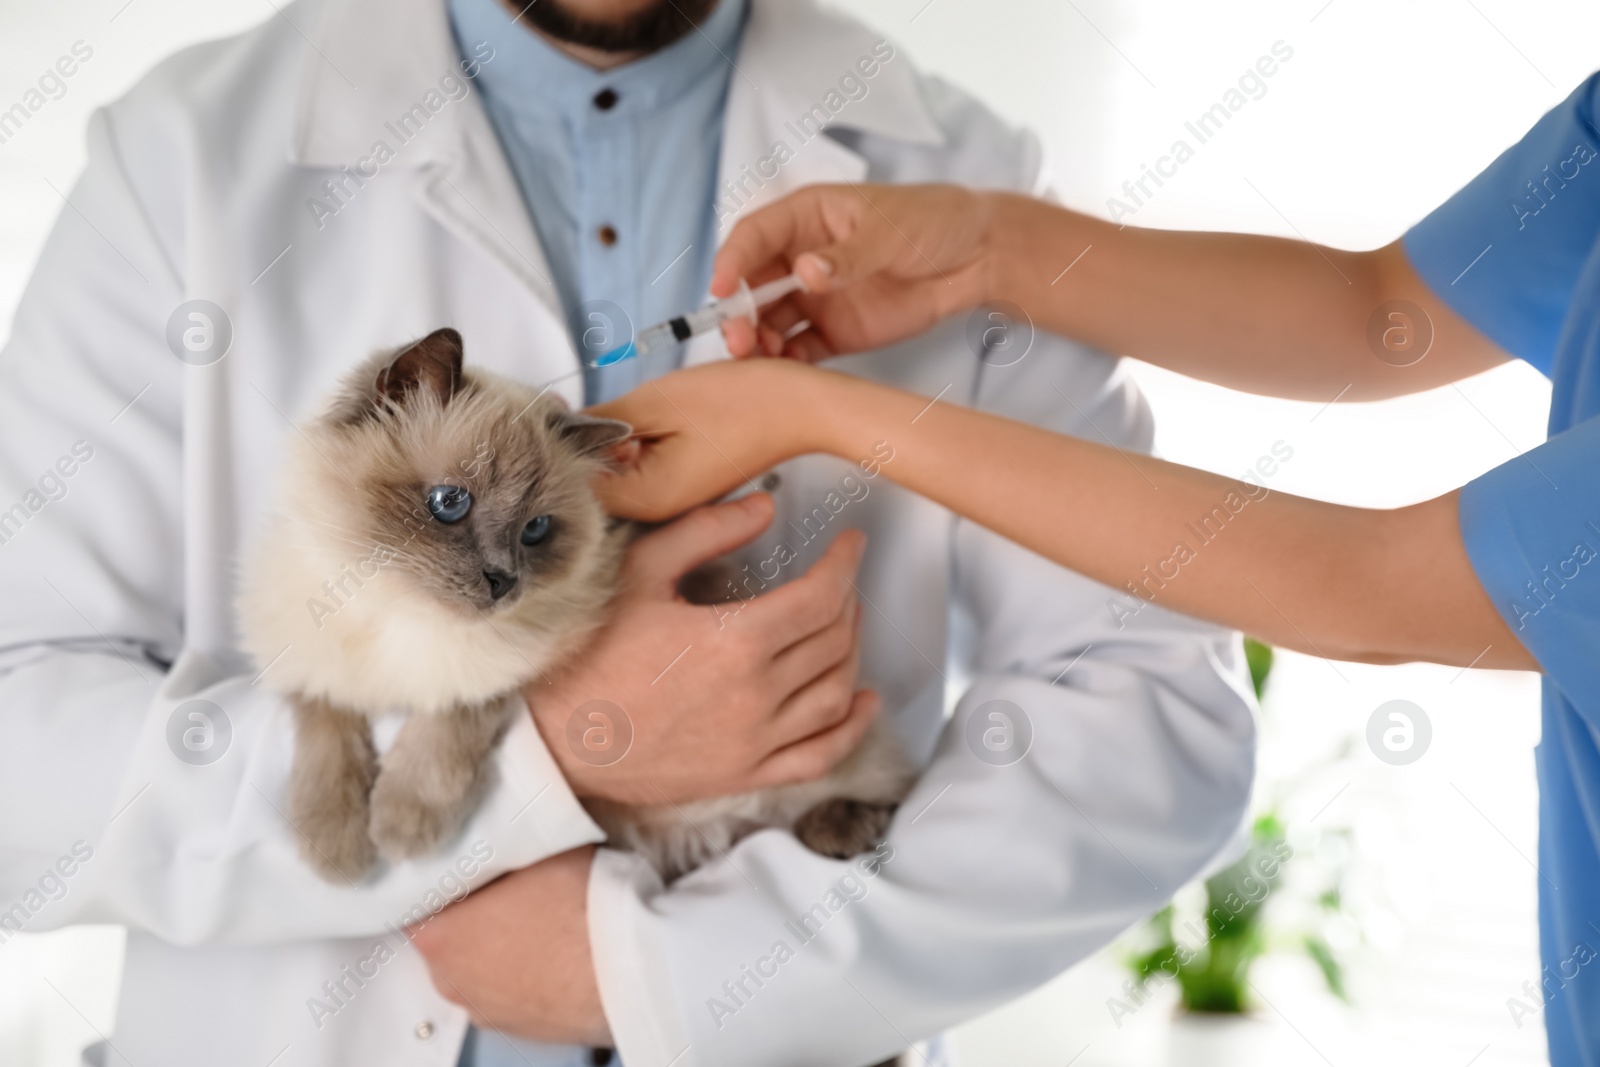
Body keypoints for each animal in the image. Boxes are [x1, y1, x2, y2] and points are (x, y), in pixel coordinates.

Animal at [238, 327, 915, 883]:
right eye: (449, 503)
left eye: (535, 531)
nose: (503, 581)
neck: (396, 612)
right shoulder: (310, 664)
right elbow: (326, 735)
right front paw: (337, 849)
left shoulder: (521, 660)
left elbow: (447, 722)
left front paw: (401, 827)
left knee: (883, 786)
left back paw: (840, 829)